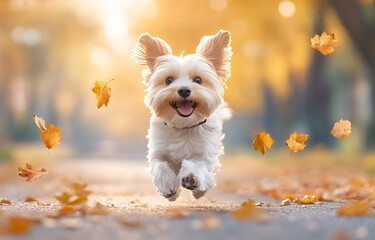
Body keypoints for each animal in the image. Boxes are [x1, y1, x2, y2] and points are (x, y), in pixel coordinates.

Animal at [132, 29, 232, 200]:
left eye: (198, 79)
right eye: (168, 80)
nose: (184, 90)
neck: (183, 126)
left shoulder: (205, 154)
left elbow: (198, 165)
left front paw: (192, 177)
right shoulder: (158, 152)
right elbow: (160, 166)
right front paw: (168, 185)